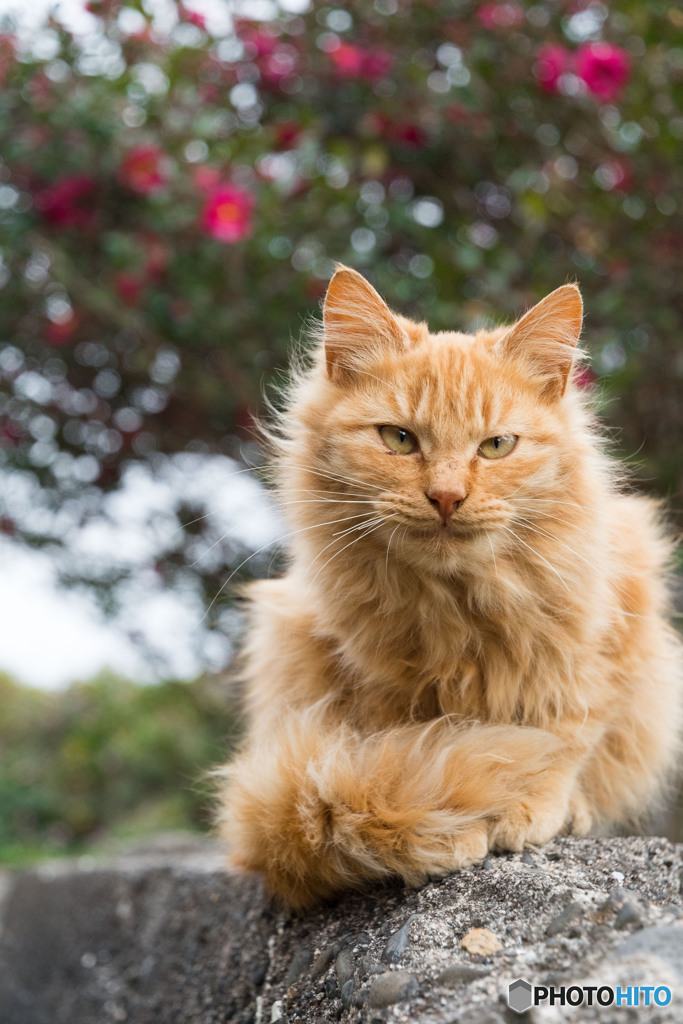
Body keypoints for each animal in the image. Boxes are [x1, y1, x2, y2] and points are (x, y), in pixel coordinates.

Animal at [216, 268, 679, 909]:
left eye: (497, 446)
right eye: (398, 439)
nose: (446, 497)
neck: (455, 605)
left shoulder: (596, 654)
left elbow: (563, 738)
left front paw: (531, 802)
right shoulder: (376, 686)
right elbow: (397, 763)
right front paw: (438, 815)